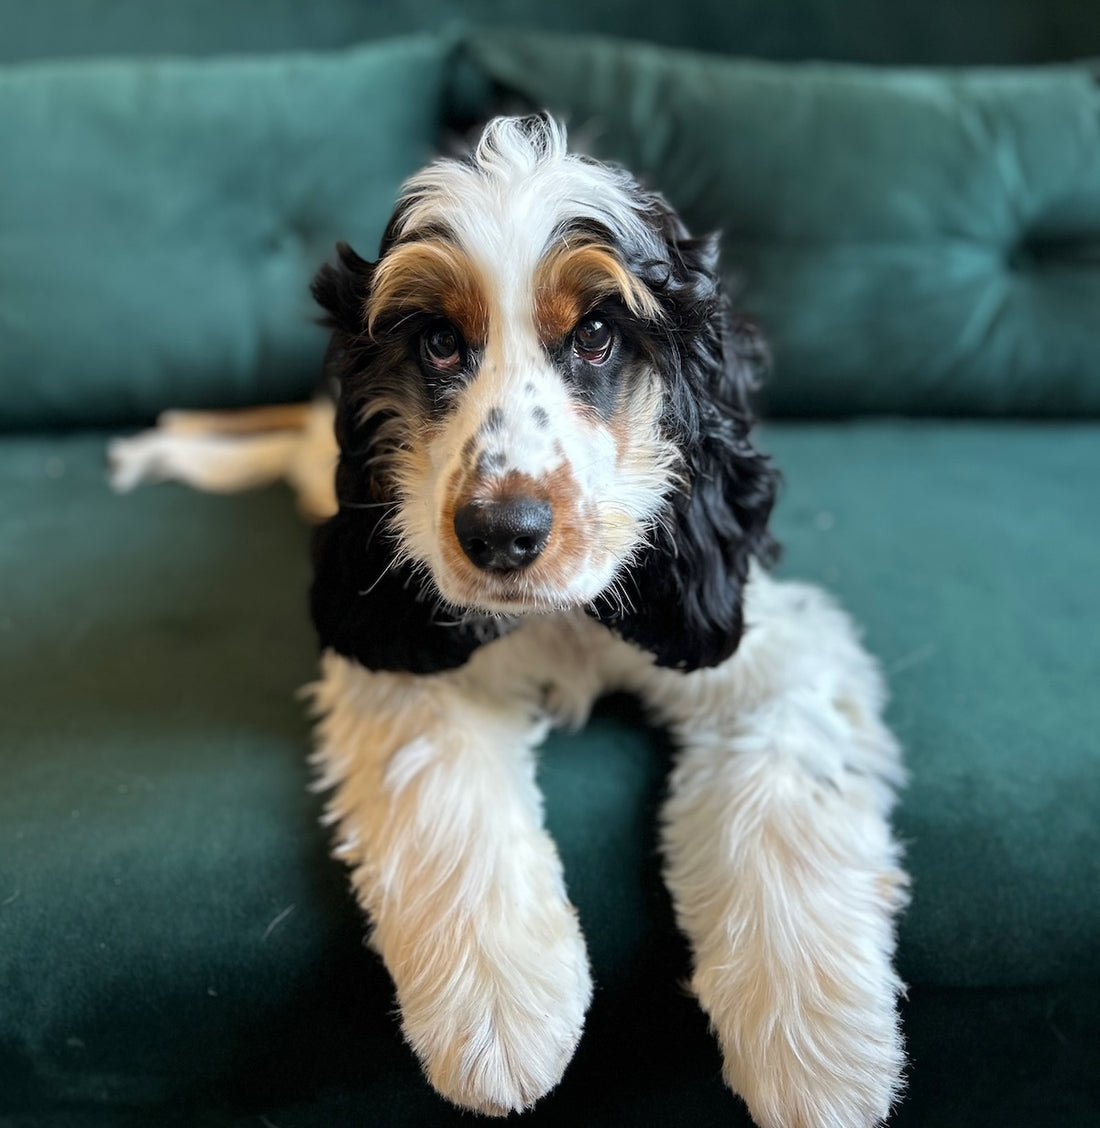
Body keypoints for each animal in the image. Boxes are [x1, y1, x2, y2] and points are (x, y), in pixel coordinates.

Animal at [107, 116, 907, 1128]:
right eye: (440, 343)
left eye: (598, 335)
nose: (501, 535)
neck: (566, 621)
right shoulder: (411, 672)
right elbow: (451, 798)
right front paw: (499, 1023)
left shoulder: (776, 655)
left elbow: (784, 807)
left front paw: (816, 1058)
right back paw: (163, 446)